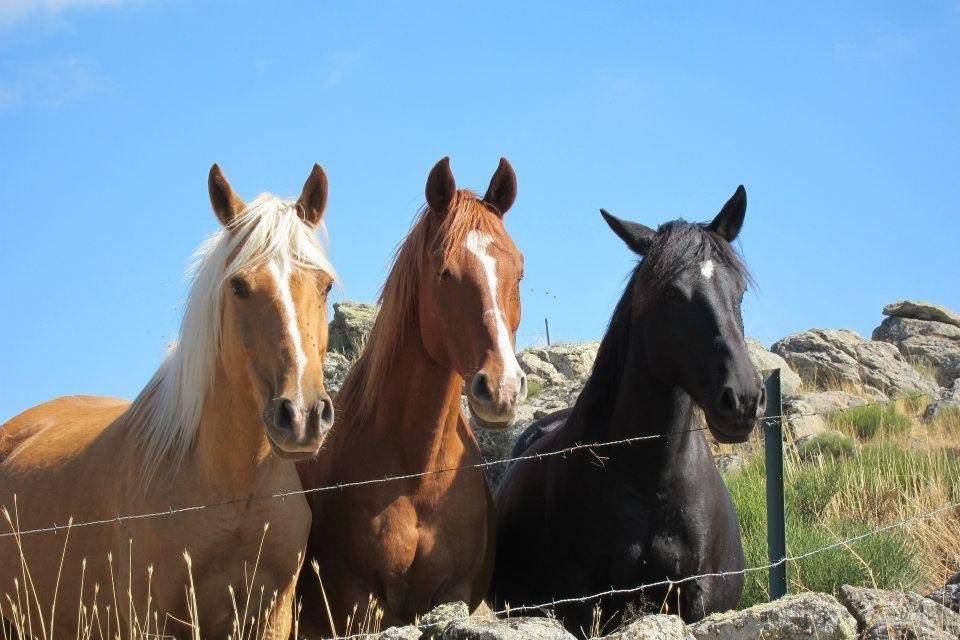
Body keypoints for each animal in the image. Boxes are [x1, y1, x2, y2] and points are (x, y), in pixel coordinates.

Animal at [0, 165, 340, 640]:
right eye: (239, 286)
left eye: (325, 285)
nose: (303, 416)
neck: (232, 491)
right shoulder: (153, 618)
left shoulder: (271, 615)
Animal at [298, 158, 524, 632]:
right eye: (444, 273)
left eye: (519, 271)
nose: (502, 388)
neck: (418, 472)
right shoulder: (358, 603)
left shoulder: (454, 594)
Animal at [488, 186, 764, 636]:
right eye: (670, 293)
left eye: (738, 290)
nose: (741, 399)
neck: (651, 482)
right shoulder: (584, 608)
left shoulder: (695, 602)